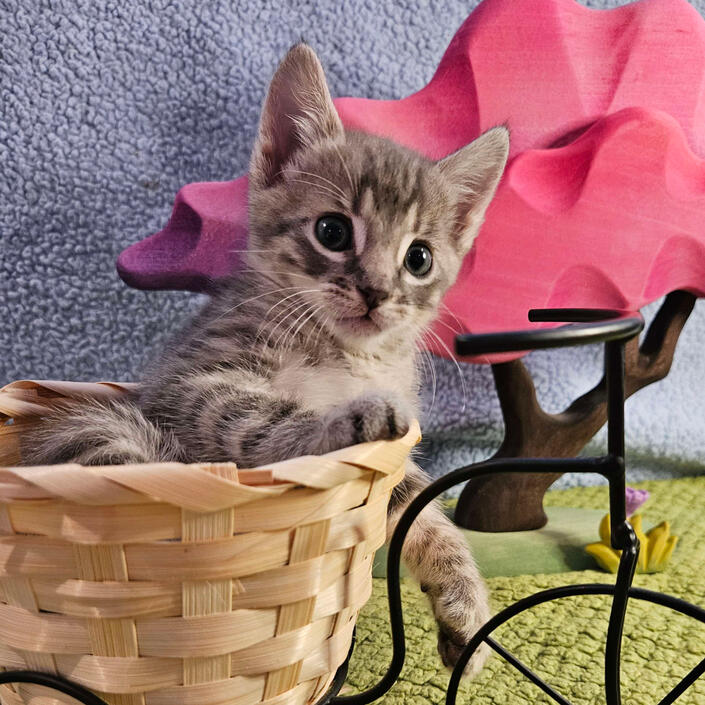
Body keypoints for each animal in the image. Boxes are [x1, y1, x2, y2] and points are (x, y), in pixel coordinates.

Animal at [23, 42, 506, 672]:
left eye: (419, 258)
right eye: (332, 230)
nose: (376, 291)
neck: (343, 353)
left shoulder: (390, 457)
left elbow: (421, 508)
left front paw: (465, 607)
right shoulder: (196, 382)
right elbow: (264, 421)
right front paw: (346, 419)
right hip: (108, 427)